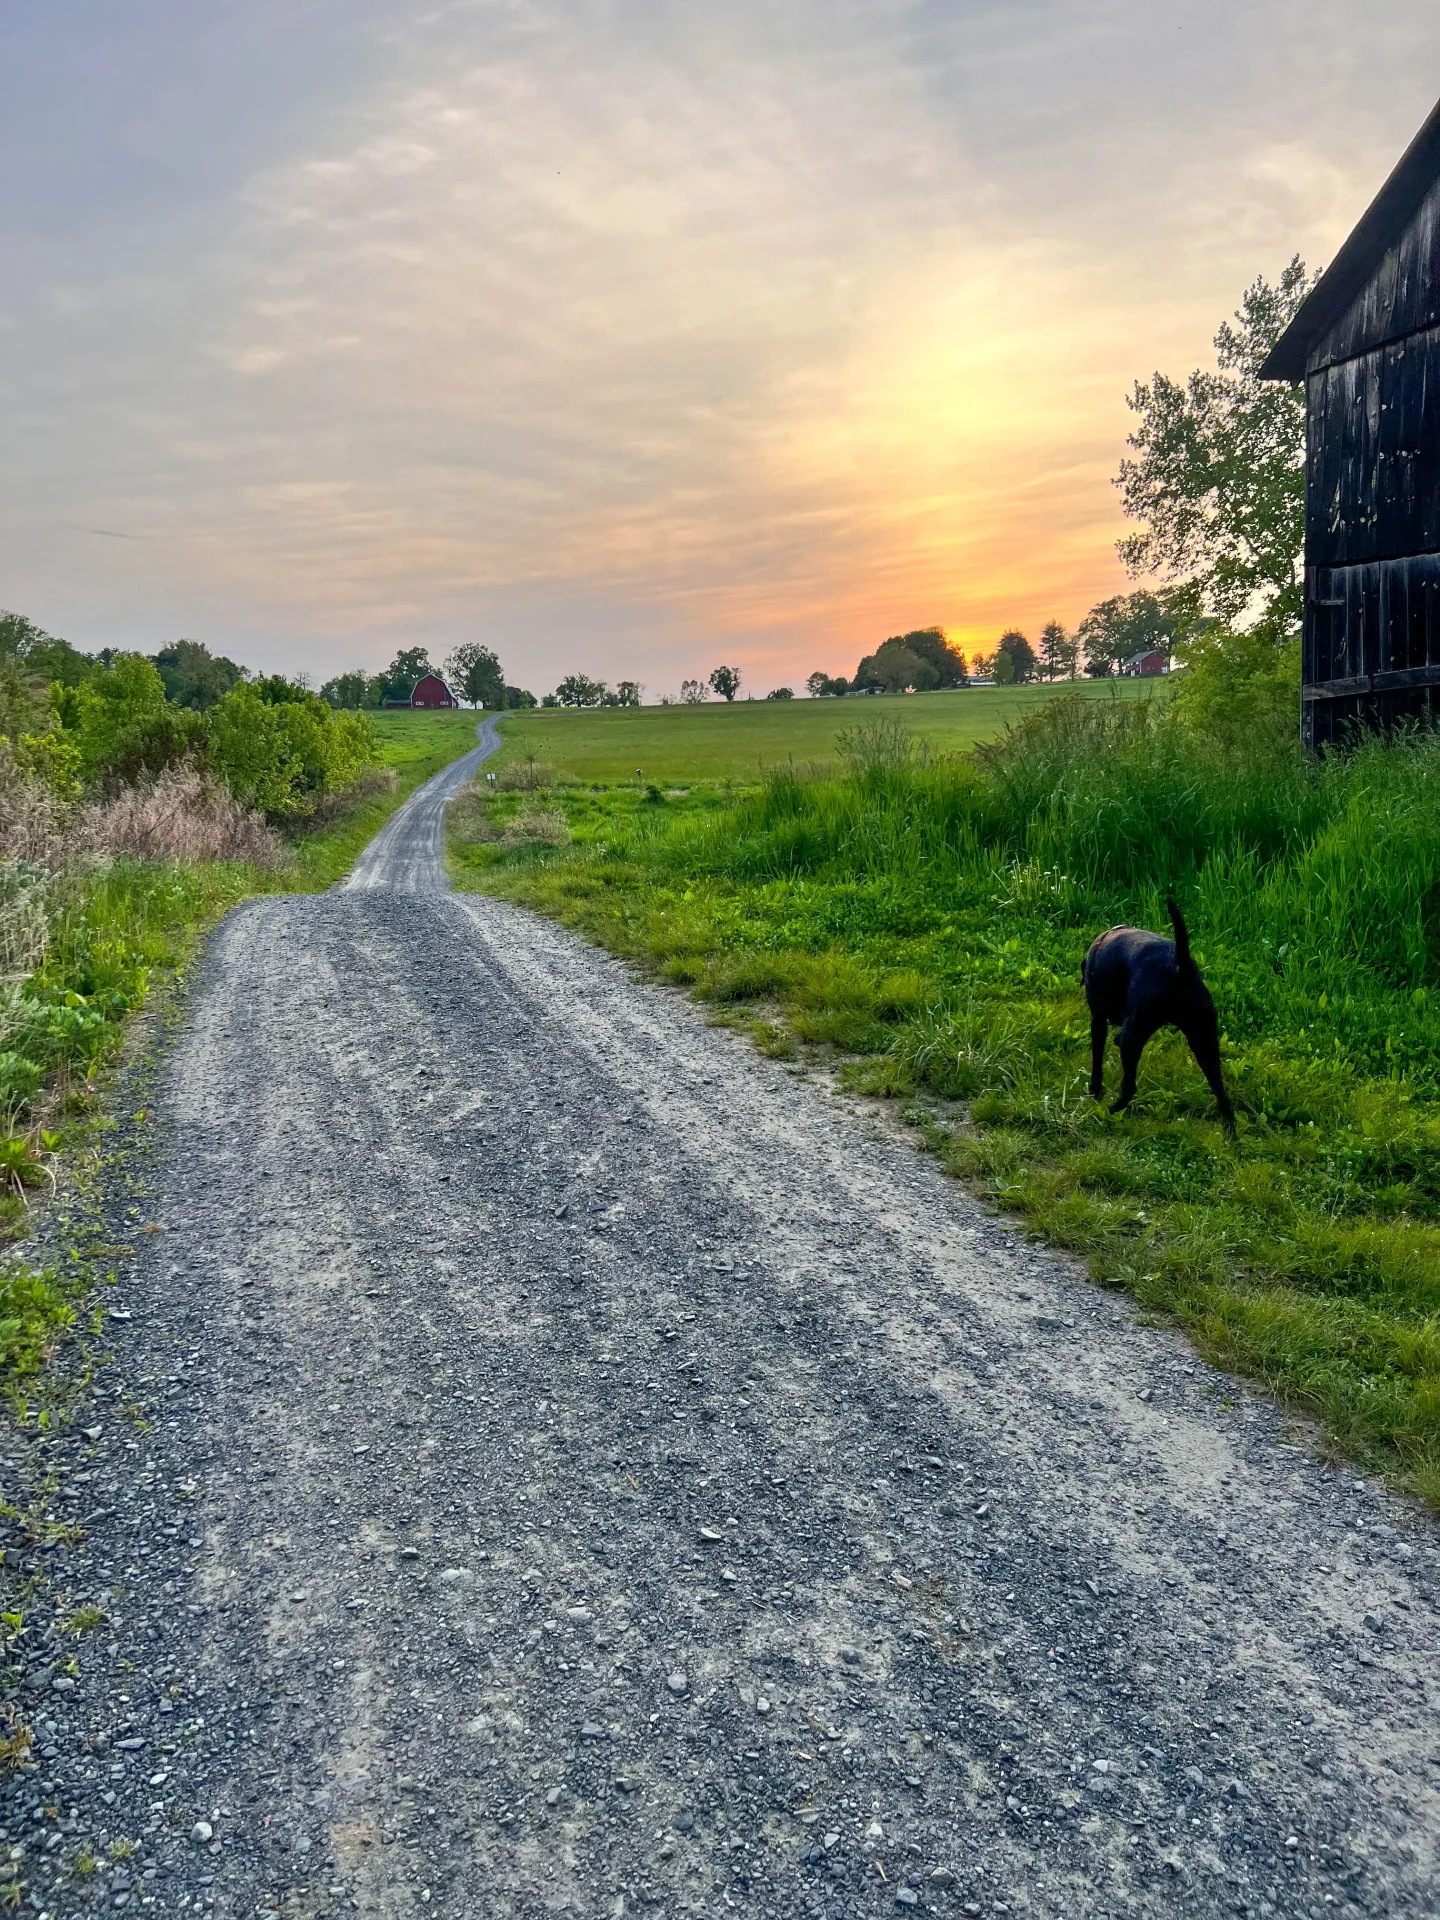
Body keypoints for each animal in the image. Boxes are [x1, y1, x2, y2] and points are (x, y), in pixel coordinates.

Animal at [1082, 894, 1244, 1128]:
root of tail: (1181, 966)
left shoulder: (1098, 1019)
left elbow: (1097, 1060)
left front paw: (1094, 1091)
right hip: (1205, 1042)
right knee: (1223, 1097)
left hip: (1133, 1038)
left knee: (1129, 1087)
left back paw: (1110, 1111)